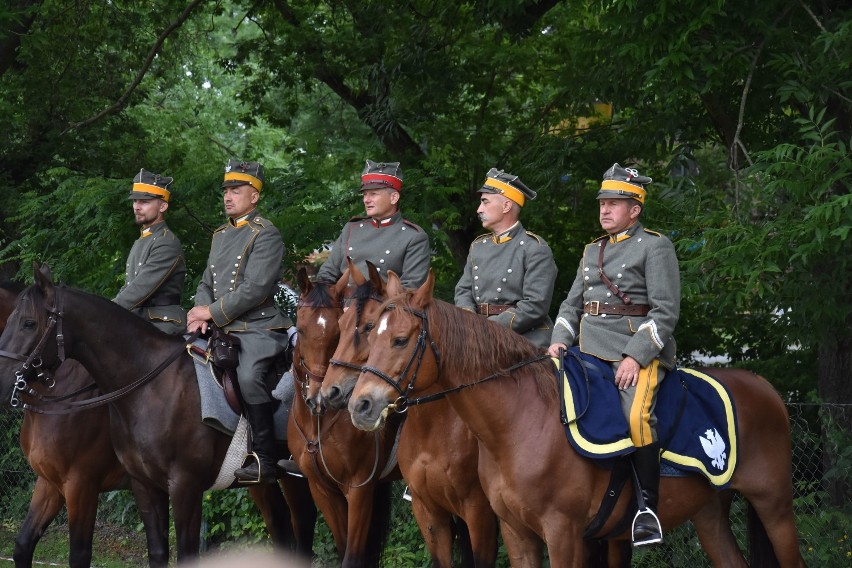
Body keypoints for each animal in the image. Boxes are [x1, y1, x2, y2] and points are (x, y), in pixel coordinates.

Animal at [0, 268, 318, 568]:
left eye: (29, 323)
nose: (3, 383)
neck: (148, 385)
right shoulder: (55, 483)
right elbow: (23, 546)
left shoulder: (93, 485)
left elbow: (80, 555)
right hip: (259, 481)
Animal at [286, 268, 396, 568]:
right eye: (301, 329)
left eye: (336, 332)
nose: (319, 397)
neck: (319, 424)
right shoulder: (321, 490)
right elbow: (343, 544)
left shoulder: (359, 490)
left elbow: (353, 555)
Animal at [320, 260, 500, 568]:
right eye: (340, 325)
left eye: (368, 326)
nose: (356, 404)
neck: (435, 429)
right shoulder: (427, 511)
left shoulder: (480, 514)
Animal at [344, 270, 804, 568]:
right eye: (370, 333)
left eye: (399, 339)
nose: (359, 405)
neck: (518, 422)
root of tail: (762, 385)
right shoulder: (516, 533)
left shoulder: (562, 534)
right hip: (709, 513)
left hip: (775, 505)